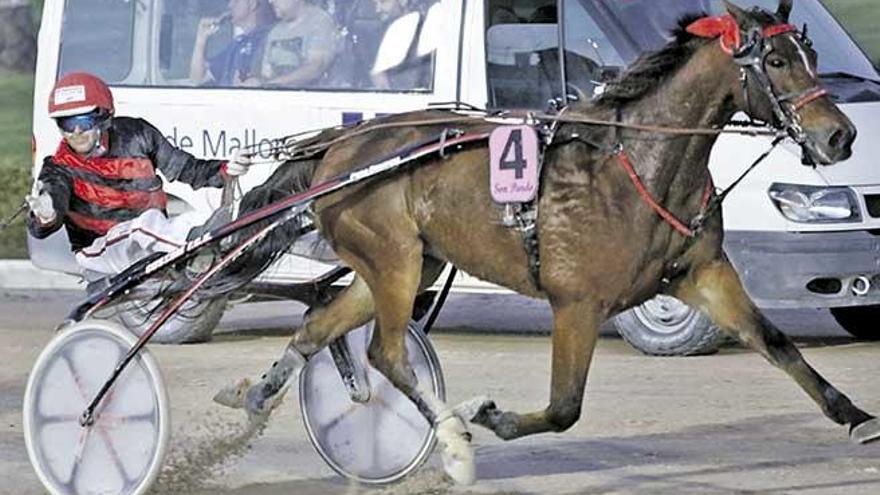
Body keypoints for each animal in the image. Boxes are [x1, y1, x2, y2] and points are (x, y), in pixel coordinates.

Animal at [217, 0, 876, 486]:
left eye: (813, 55)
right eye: (777, 60)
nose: (840, 136)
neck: (638, 166)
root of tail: (336, 148)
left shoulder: (702, 273)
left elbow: (776, 342)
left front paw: (858, 418)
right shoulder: (577, 303)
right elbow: (565, 408)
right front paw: (489, 416)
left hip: (405, 264)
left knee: (321, 325)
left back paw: (256, 395)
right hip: (394, 261)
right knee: (386, 353)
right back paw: (454, 440)